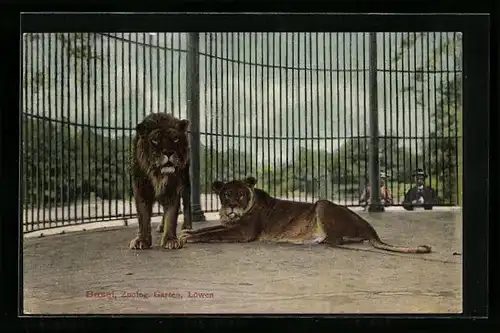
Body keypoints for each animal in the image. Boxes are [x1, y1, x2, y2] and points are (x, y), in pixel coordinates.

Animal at [129, 112, 191, 249]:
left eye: (175, 139)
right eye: (155, 140)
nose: (168, 152)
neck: (158, 174)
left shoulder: (174, 188)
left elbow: (171, 215)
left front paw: (170, 240)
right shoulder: (141, 188)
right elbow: (143, 216)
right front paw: (141, 240)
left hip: (185, 182)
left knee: (187, 204)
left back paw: (187, 228)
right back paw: (162, 227)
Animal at [182, 175, 432, 253]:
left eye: (241, 194)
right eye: (226, 194)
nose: (233, 206)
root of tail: (370, 229)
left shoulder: (243, 232)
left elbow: (210, 234)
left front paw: (187, 238)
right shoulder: (230, 226)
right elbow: (210, 229)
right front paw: (186, 232)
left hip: (321, 205)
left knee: (337, 240)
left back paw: (311, 241)